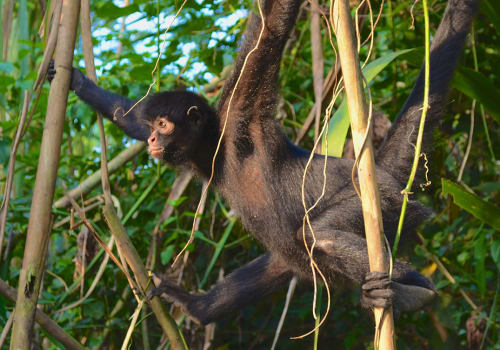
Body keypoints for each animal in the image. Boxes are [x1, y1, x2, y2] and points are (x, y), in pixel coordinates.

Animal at [48, 0, 478, 326]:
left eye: (165, 125)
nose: (155, 139)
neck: (220, 154)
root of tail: (376, 172)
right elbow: (129, 117)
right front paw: (75, 79)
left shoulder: (241, 111)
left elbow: (270, 28)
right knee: (286, 258)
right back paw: (199, 307)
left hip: (385, 202)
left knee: (318, 234)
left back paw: (416, 291)